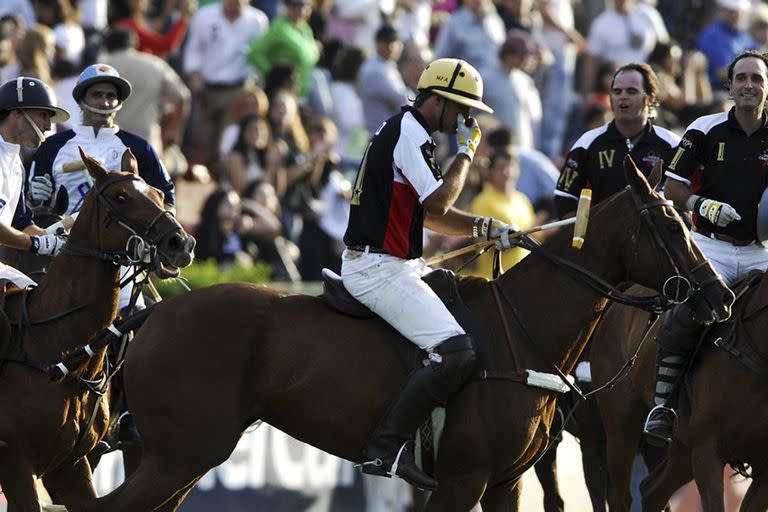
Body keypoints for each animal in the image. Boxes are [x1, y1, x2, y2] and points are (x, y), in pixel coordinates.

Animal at [82, 157, 732, 512]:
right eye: (669, 223)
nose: (720, 298)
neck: (525, 330)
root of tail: (151, 315)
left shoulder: (505, 482)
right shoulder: (460, 480)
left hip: (182, 454)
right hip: (182, 451)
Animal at [592, 274, 768, 512]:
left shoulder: (763, 470)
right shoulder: (707, 450)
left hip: (682, 448)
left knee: (652, 490)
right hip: (621, 426)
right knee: (621, 497)